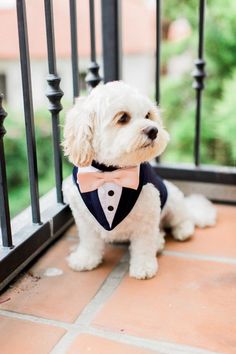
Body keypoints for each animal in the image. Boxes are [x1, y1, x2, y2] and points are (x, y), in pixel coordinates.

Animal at [62, 80, 216, 280]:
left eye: (148, 115)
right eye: (122, 118)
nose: (153, 130)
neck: (111, 172)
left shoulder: (147, 215)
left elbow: (143, 245)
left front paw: (144, 266)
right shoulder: (83, 217)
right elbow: (89, 241)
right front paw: (86, 258)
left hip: (172, 200)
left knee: (183, 219)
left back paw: (181, 231)